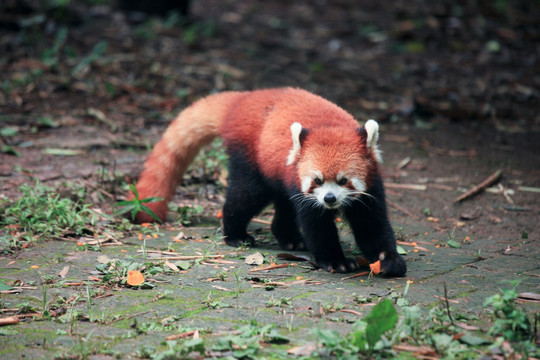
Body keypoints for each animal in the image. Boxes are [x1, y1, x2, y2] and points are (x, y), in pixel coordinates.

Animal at [132, 87, 404, 276]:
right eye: (317, 180)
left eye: (343, 180)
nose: (329, 199)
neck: (330, 125)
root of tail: (242, 99)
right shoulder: (308, 195)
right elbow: (317, 227)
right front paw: (336, 261)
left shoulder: (370, 187)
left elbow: (372, 225)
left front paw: (388, 259)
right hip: (251, 158)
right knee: (244, 197)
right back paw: (236, 235)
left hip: (283, 174)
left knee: (283, 204)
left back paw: (290, 238)